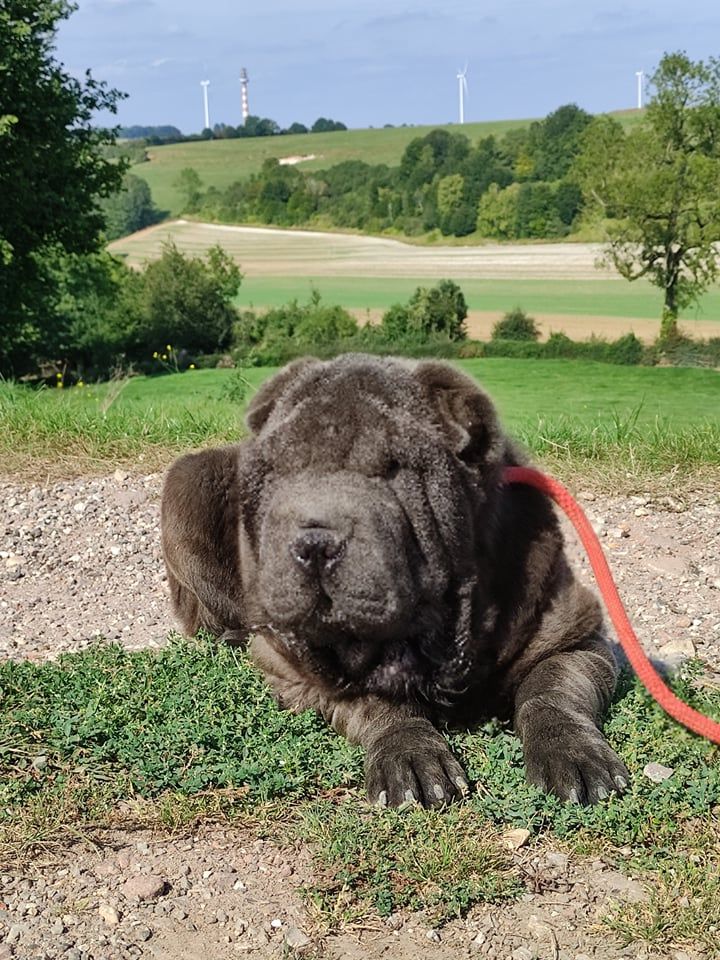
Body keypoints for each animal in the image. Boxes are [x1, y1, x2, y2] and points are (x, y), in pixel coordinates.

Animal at [160, 352, 628, 804]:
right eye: (280, 471)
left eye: (391, 470)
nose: (313, 540)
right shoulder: (298, 669)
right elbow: (378, 703)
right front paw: (412, 759)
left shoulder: (574, 634)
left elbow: (551, 691)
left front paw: (575, 757)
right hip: (187, 481)